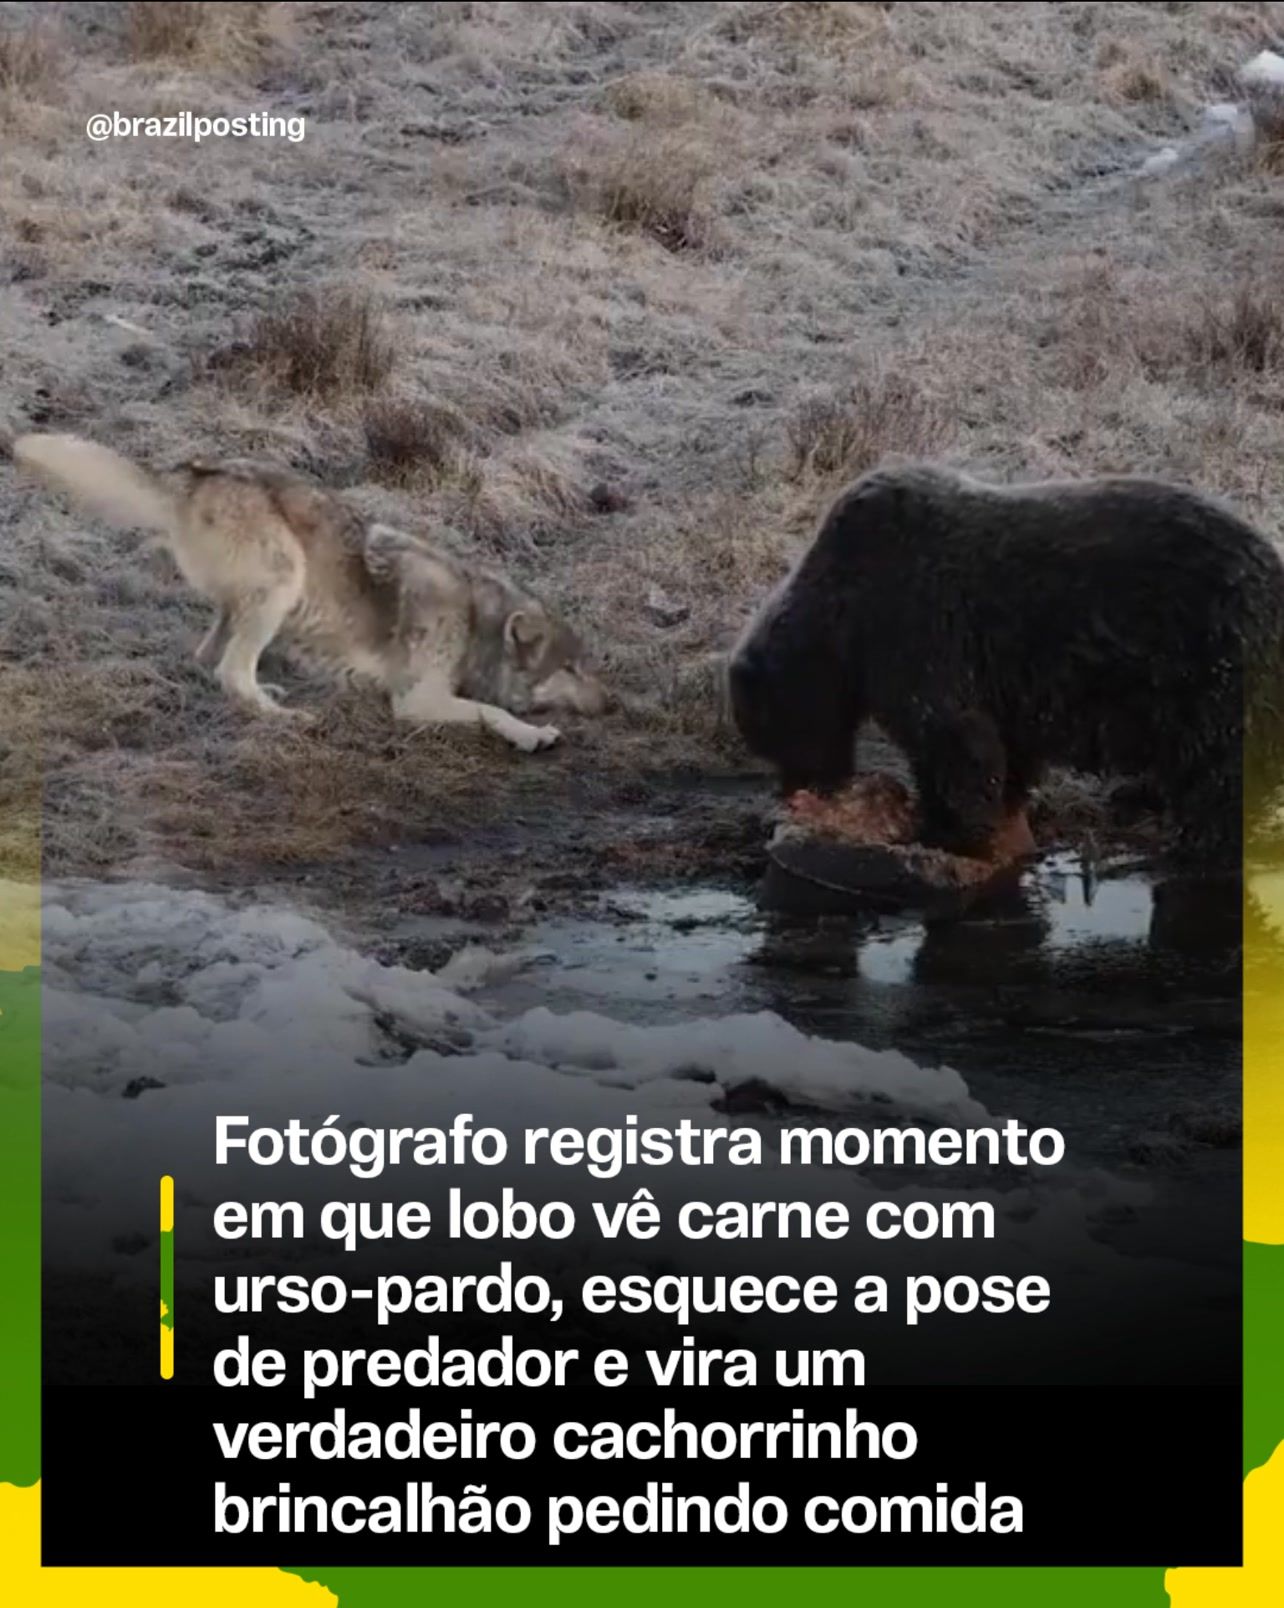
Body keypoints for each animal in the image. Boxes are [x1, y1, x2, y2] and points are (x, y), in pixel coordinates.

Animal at [13, 434, 607, 751]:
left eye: (585, 665)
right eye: (569, 668)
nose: (613, 704)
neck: (473, 620)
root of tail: (196, 475)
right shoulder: (417, 700)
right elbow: (491, 711)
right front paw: (532, 734)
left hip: (251, 600)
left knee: (211, 659)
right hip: (283, 579)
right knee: (231, 671)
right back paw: (285, 716)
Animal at [729, 463, 1284, 861]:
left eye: (769, 736)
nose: (797, 789)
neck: (844, 620)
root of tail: (1270, 560)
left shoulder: (917, 625)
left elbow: (950, 735)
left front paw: (945, 828)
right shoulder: (1002, 680)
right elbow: (1004, 747)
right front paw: (1000, 808)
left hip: (1209, 654)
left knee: (1218, 767)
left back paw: (1201, 840)